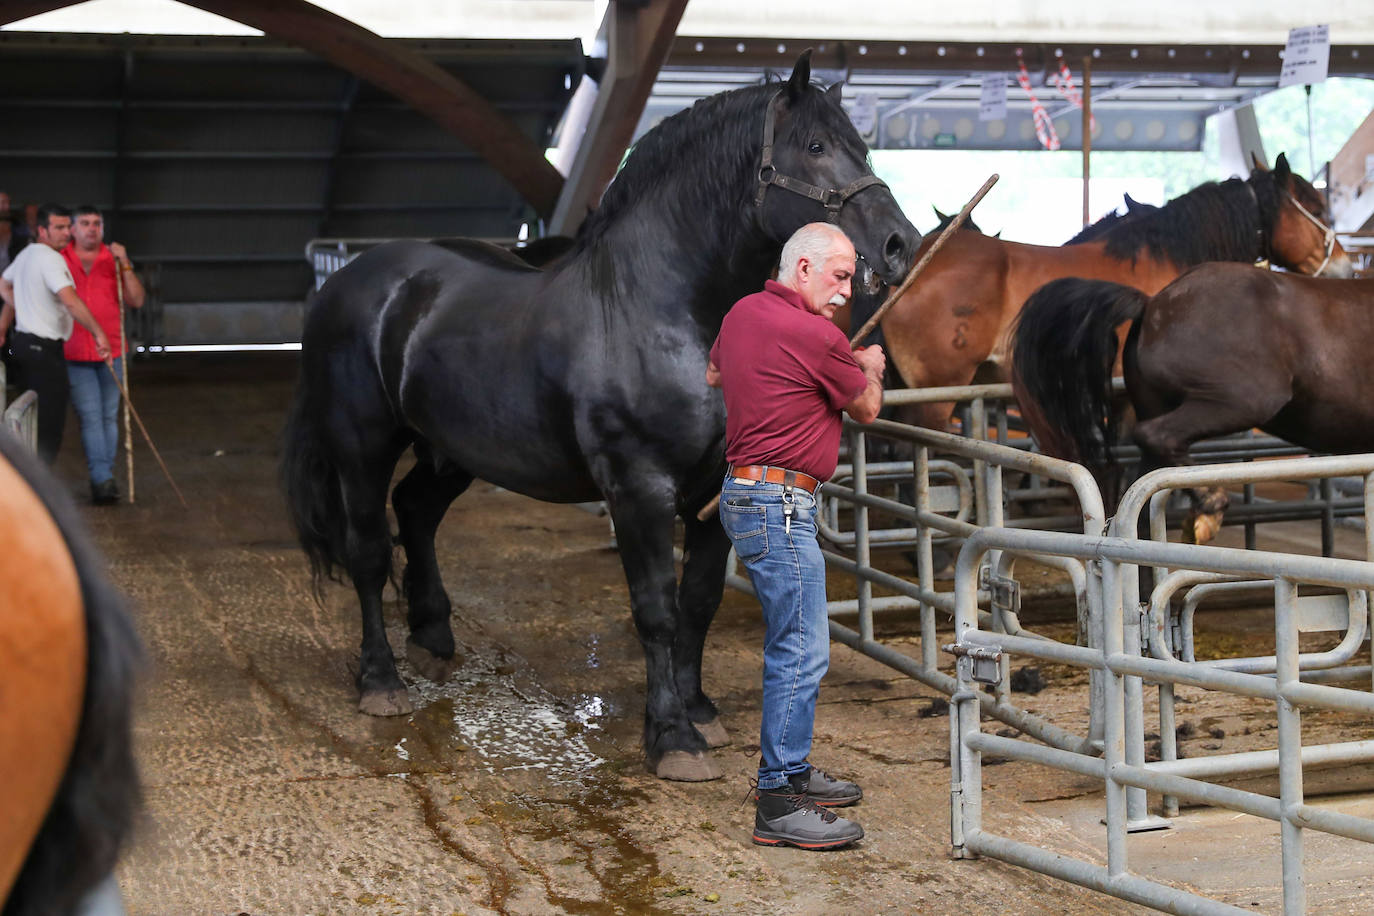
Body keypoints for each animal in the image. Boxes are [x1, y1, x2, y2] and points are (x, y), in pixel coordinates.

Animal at [280, 51, 917, 780]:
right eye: (814, 147)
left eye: (862, 146)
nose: (900, 245)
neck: (660, 310)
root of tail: (347, 281)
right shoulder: (638, 487)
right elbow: (657, 609)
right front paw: (673, 738)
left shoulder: (717, 488)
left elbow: (699, 600)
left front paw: (699, 710)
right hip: (361, 446)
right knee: (366, 551)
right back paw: (381, 680)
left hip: (454, 449)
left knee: (415, 510)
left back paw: (434, 635)